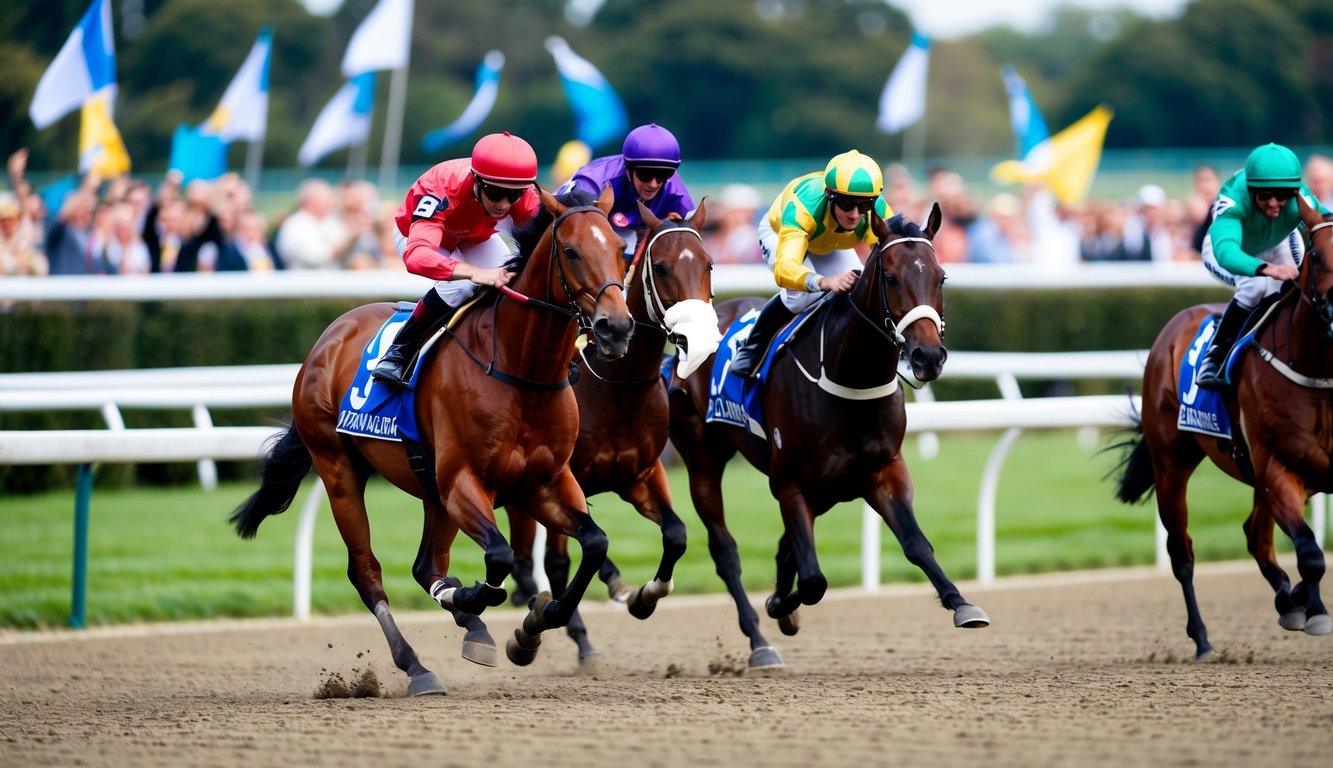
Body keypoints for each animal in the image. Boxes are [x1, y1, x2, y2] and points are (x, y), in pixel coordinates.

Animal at [227, 188, 634, 693]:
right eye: (573, 251)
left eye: (621, 249)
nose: (616, 328)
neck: (523, 373)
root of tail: (330, 336)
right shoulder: (464, 483)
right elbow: (498, 556)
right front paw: (479, 600)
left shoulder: (545, 482)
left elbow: (594, 542)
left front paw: (532, 626)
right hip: (339, 469)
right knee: (367, 572)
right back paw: (418, 664)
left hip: (428, 487)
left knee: (426, 566)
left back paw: (466, 619)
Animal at [503, 201, 725, 664]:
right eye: (661, 267)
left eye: (709, 264)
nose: (698, 340)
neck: (618, 388)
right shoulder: (562, 479)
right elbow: (558, 564)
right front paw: (557, 630)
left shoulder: (641, 475)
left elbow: (676, 535)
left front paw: (644, 596)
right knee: (526, 558)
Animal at [666, 206, 991, 669]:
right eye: (890, 277)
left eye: (941, 276)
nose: (928, 357)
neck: (850, 378)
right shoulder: (790, 483)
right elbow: (814, 580)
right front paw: (780, 606)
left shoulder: (881, 471)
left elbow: (916, 544)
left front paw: (960, 602)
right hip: (702, 459)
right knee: (725, 550)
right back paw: (759, 641)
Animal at [1114, 193, 1333, 661]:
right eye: (1319, 257)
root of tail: (1176, 324)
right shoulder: (1281, 469)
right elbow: (1310, 552)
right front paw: (1311, 608)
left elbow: (1304, 550)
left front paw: (1299, 601)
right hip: (1172, 464)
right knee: (1182, 552)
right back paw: (1203, 638)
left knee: (1255, 536)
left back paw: (1289, 599)